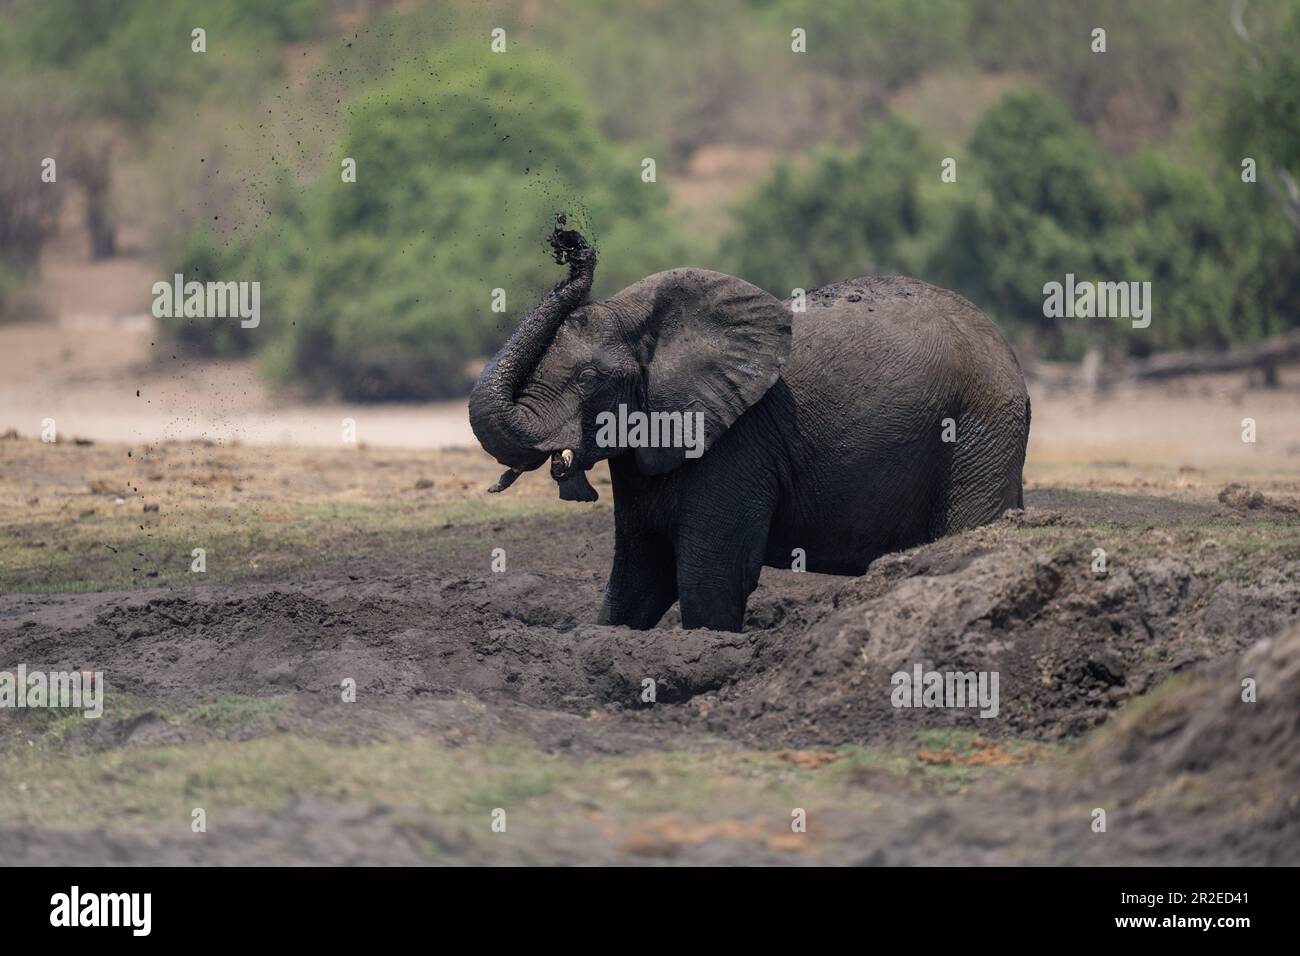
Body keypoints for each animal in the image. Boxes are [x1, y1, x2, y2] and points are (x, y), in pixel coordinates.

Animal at [467, 217, 1024, 634]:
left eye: (588, 379)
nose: (569, 239)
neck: (645, 320)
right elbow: (639, 574)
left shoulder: (741, 439)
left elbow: (709, 575)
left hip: (979, 421)